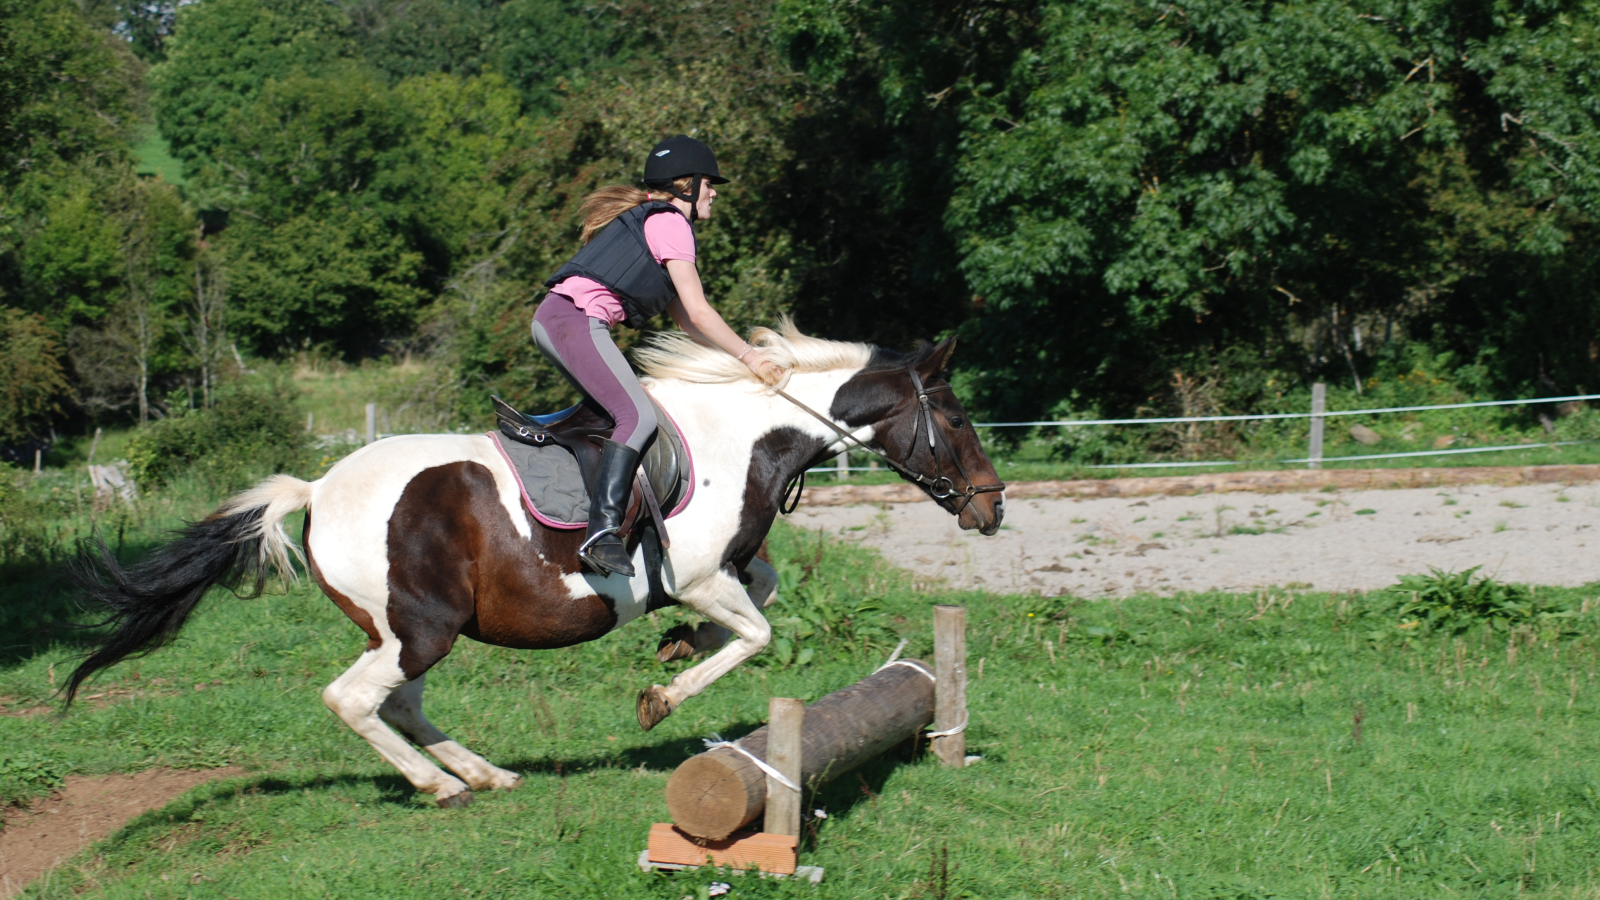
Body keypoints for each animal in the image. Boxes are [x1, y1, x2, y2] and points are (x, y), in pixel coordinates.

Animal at [72, 321, 1011, 807]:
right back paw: (442, 785)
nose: (993, 508)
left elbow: (760, 602)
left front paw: (677, 647)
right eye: (957, 418)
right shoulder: (703, 574)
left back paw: (485, 771)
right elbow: (758, 634)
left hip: (412, 631)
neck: (744, 436)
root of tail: (317, 486)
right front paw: (661, 694)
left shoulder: (730, 570)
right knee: (355, 701)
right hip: (419, 628)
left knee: (399, 703)